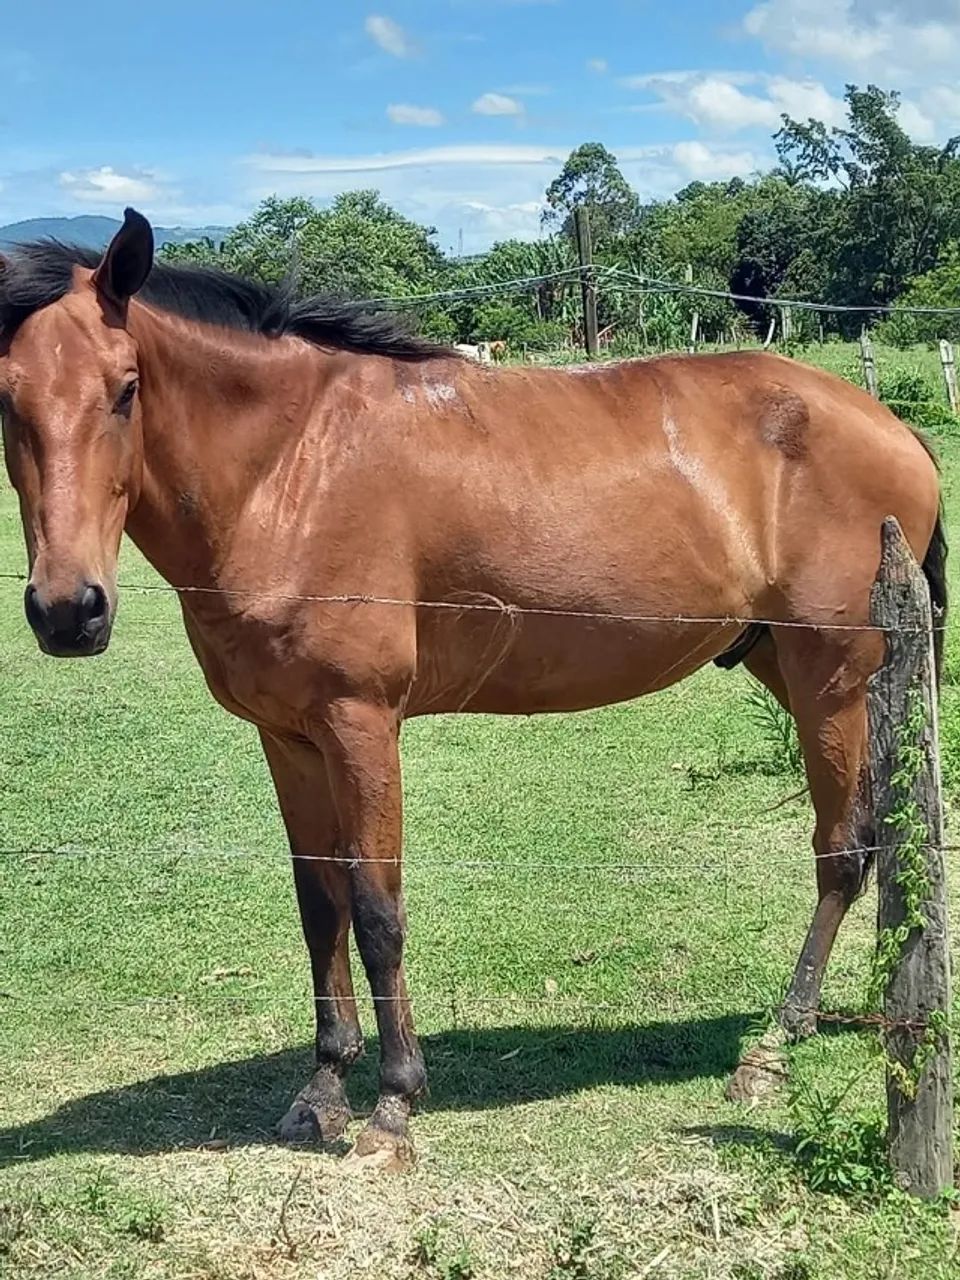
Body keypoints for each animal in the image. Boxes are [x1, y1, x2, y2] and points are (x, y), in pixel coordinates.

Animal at [0, 210, 945, 1170]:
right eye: (7, 400)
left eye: (125, 390)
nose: (68, 611)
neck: (291, 470)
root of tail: (891, 426)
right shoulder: (288, 736)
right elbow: (320, 905)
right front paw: (322, 1089)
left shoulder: (360, 724)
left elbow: (377, 910)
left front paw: (393, 1104)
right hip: (786, 666)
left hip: (830, 676)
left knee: (844, 848)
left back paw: (778, 1039)